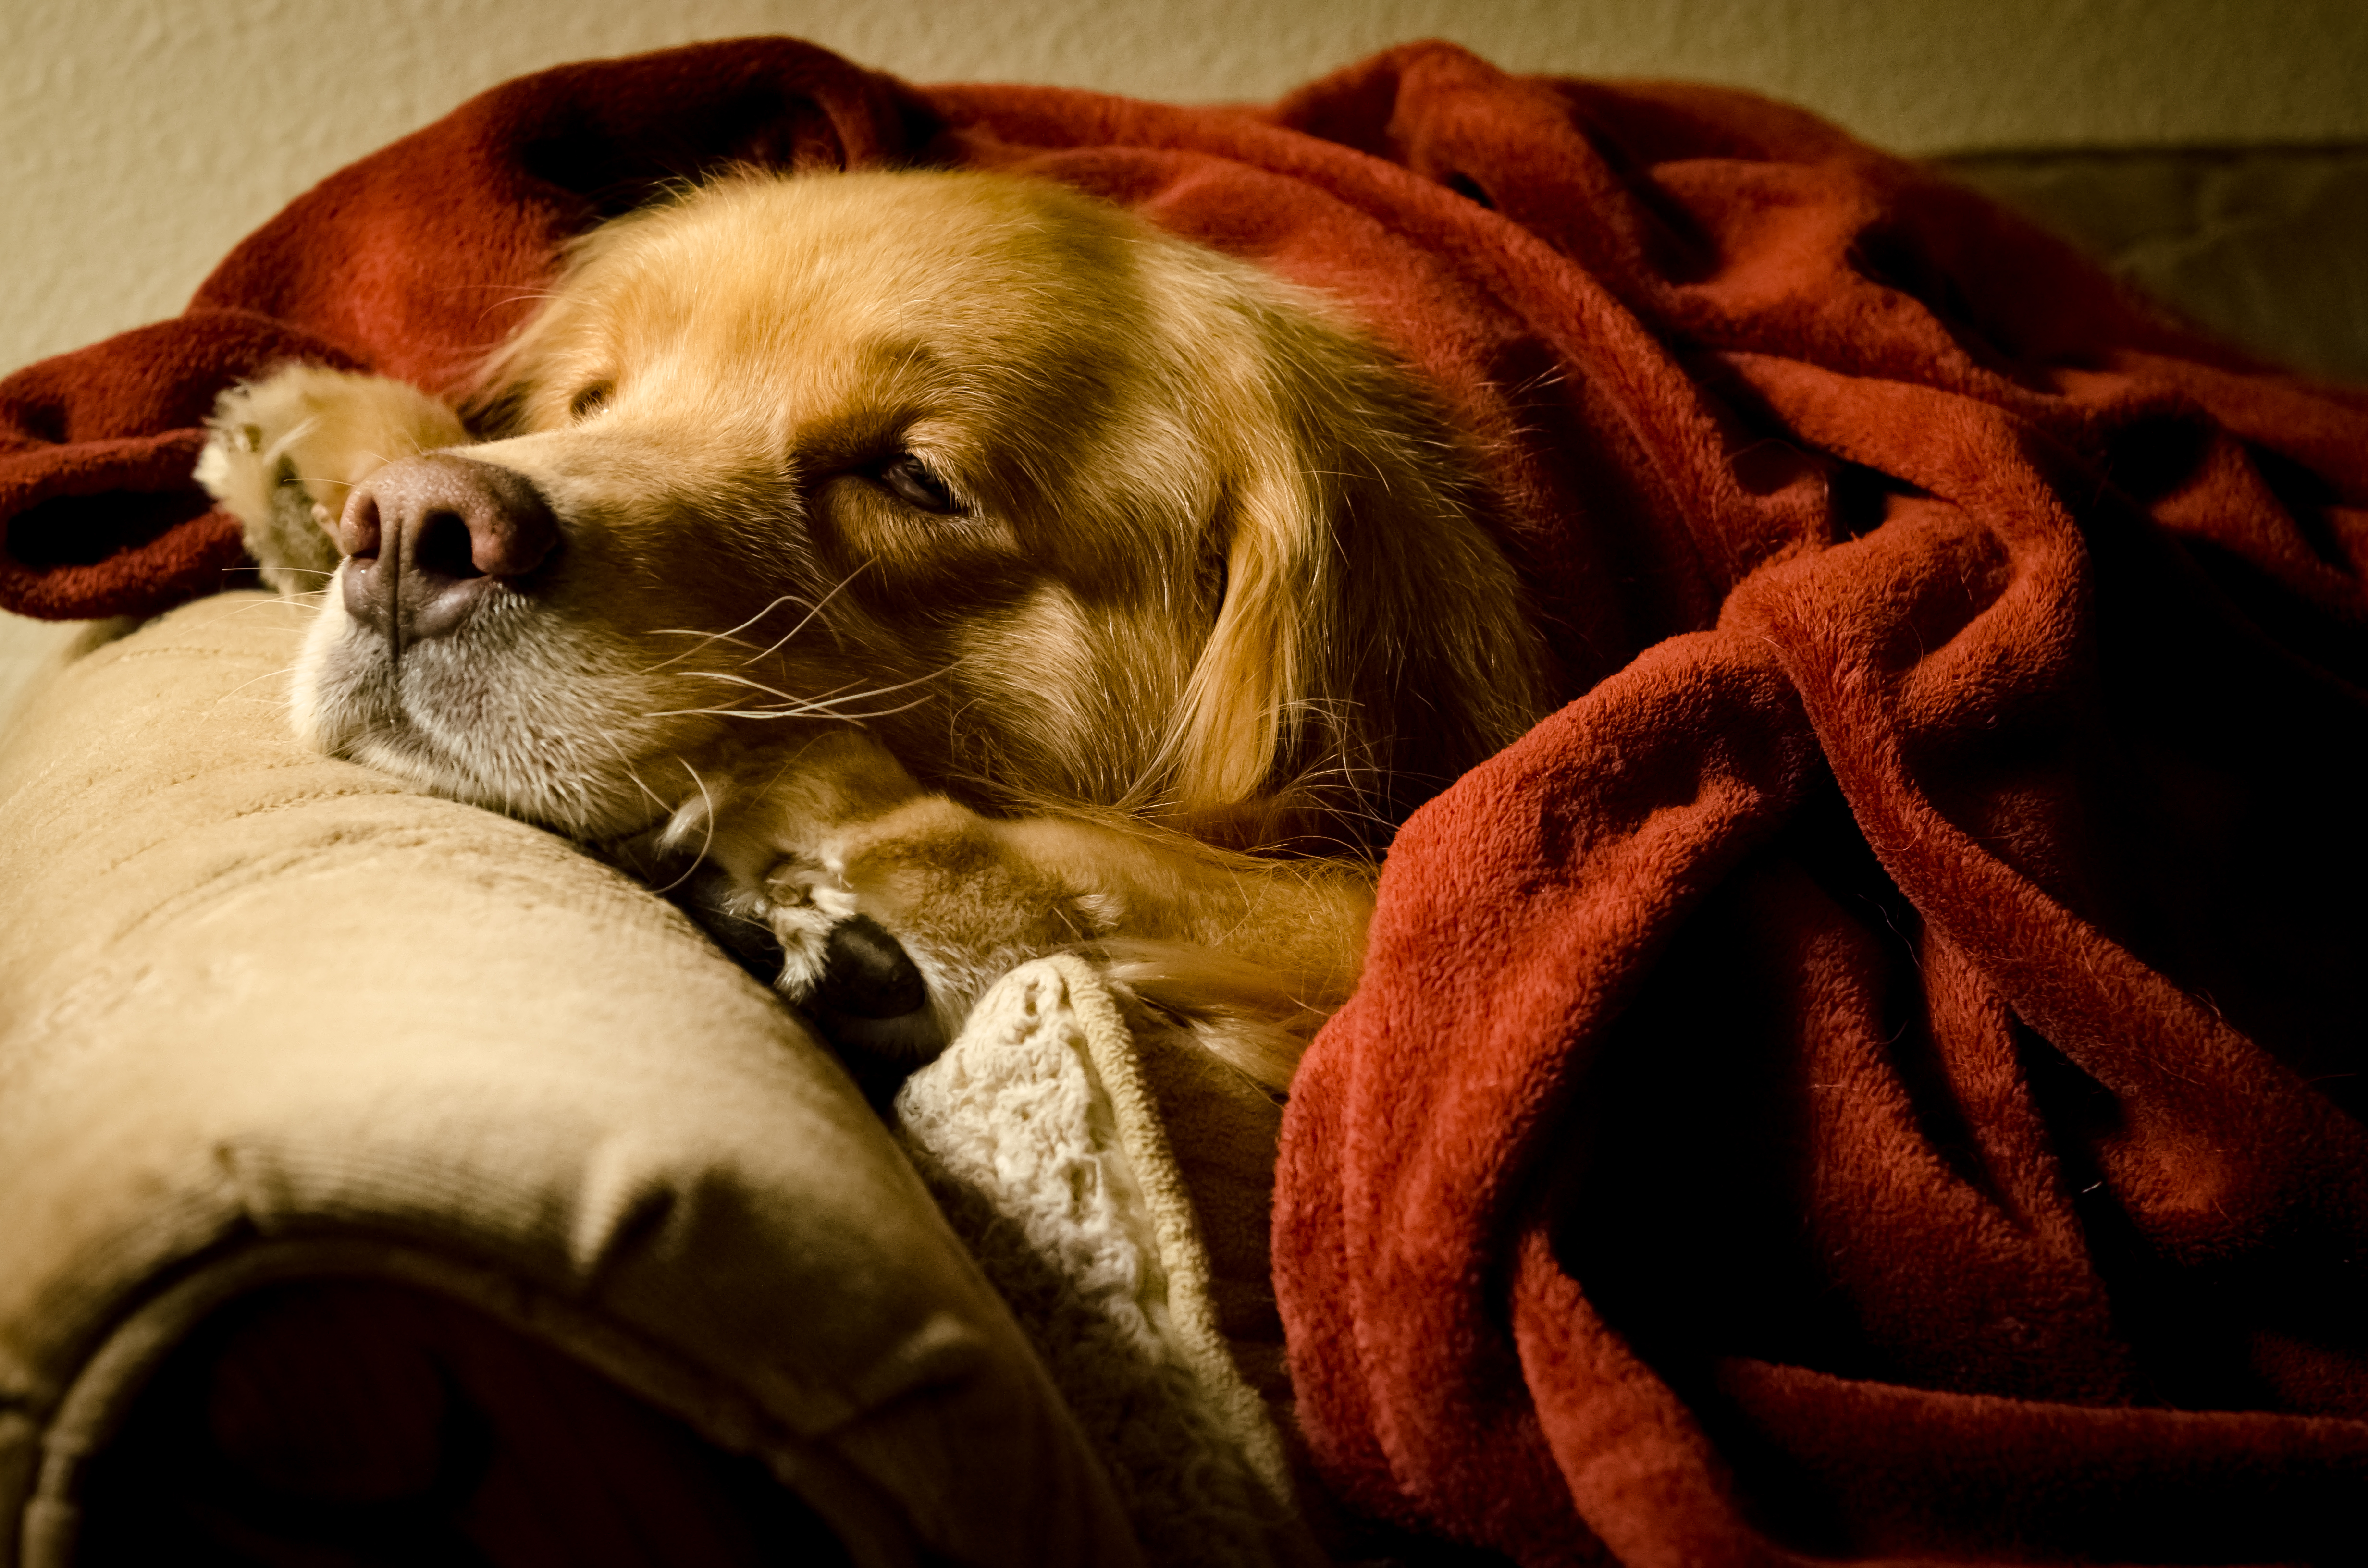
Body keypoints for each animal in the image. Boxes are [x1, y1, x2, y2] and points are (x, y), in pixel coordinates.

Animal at [189, 166, 1553, 1090]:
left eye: (913, 479)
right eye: (592, 399)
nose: (409, 533)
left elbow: (1345, 913)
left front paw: (874, 850)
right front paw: (337, 442)